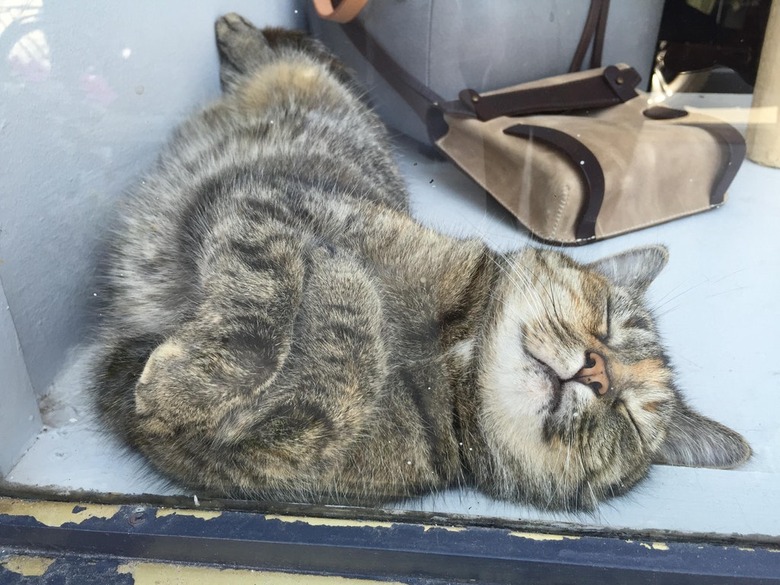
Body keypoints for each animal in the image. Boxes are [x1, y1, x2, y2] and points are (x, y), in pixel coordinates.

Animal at [90, 13, 748, 512]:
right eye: (606, 320)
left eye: (629, 418)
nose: (597, 373)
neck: (453, 359)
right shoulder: (264, 201)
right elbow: (266, 303)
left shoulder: (221, 455)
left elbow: (330, 395)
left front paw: (341, 298)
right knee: (286, 58)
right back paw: (239, 33)